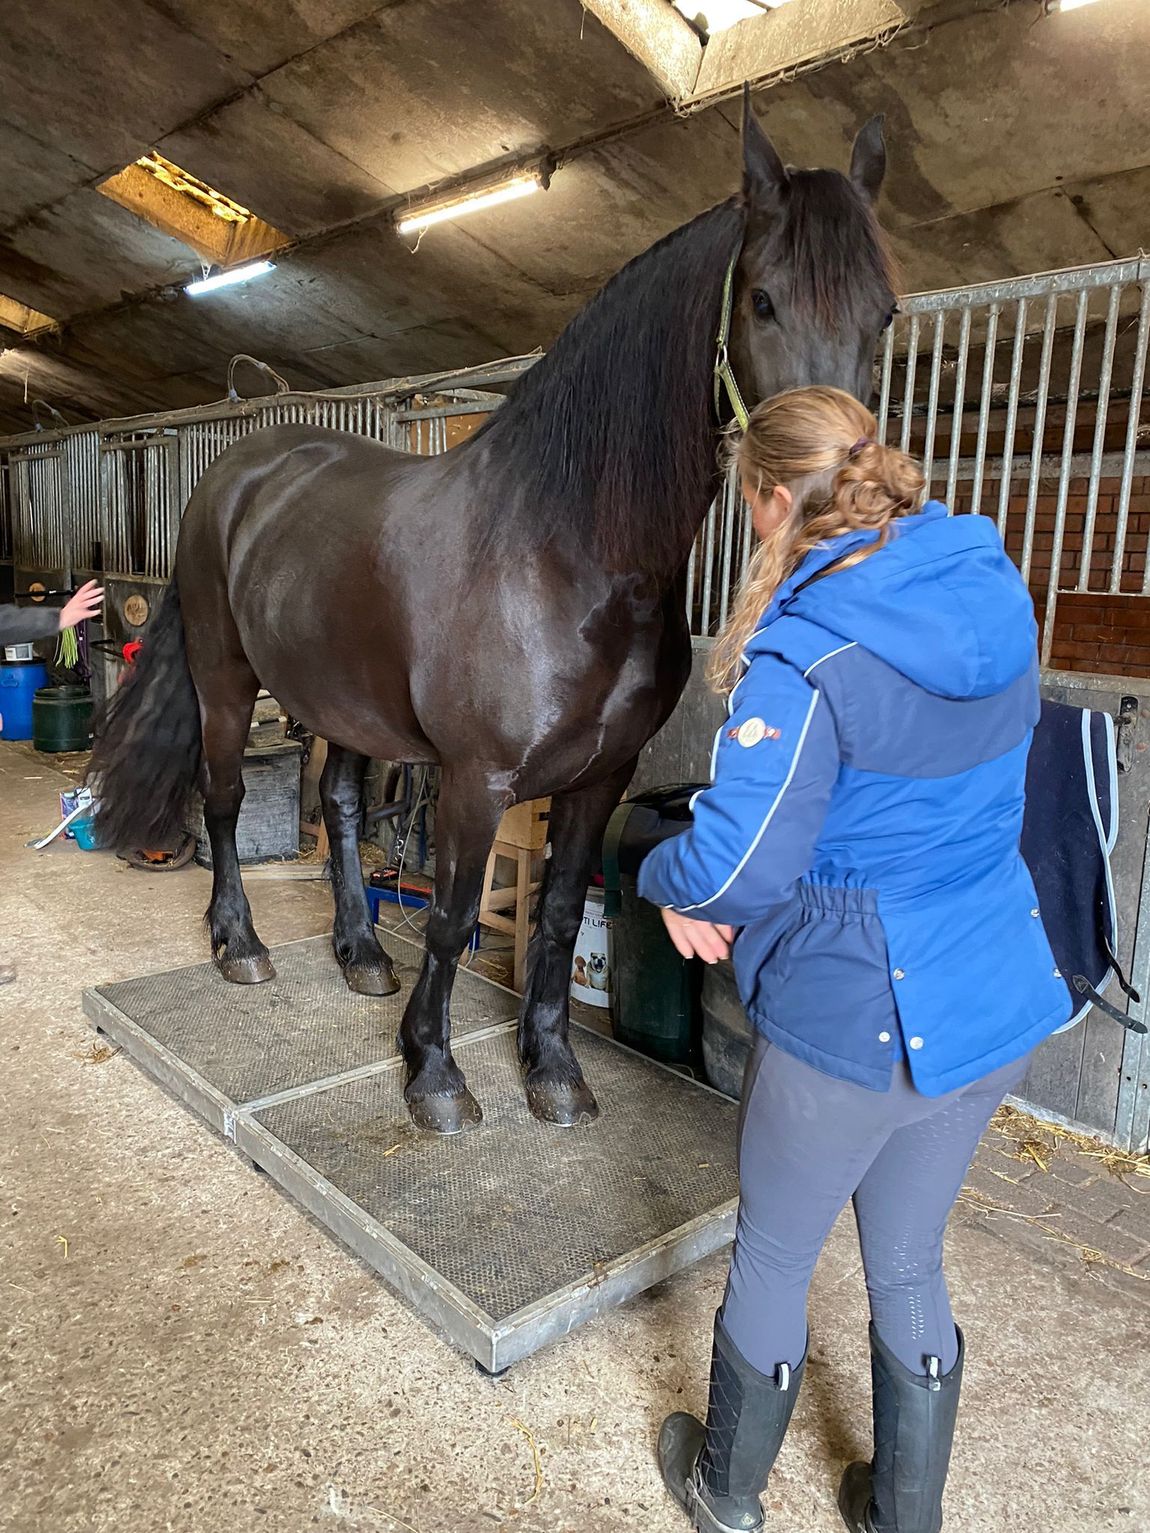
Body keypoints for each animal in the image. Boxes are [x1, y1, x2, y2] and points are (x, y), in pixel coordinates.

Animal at [90, 96, 897, 1136]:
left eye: (885, 313)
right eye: (762, 300)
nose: (840, 512)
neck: (569, 554)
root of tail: (237, 471)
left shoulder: (600, 778)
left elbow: (552, 917)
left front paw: (552, 1066)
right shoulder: (477, 780)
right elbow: (453, 916)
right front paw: (434, 1073)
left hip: (341, 701)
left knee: (340, 806)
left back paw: (362, 955)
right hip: (227, 680)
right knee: (222, 798)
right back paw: (241, 944)